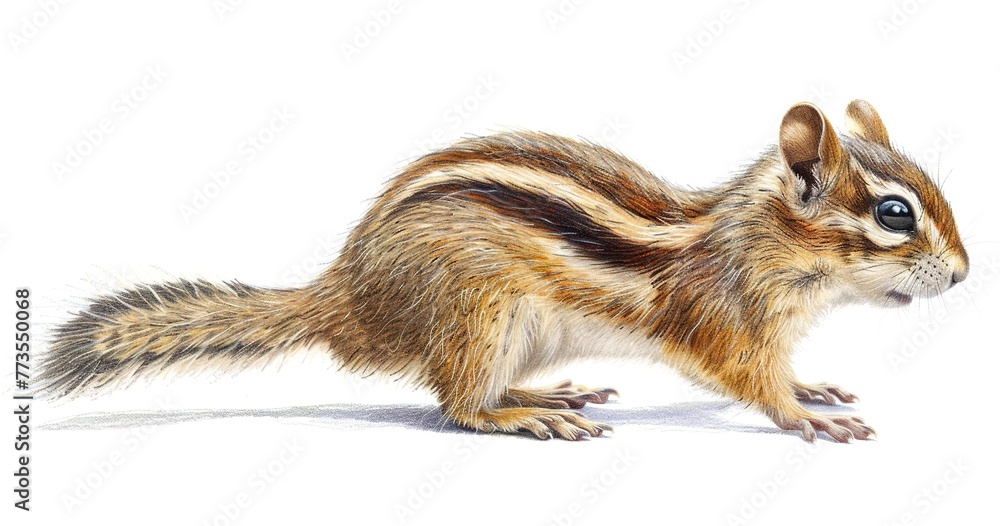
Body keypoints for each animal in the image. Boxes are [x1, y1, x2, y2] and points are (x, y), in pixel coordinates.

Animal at [40, 100, 969, 442]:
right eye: (895, 214)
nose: (963, 275)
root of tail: (348, 297)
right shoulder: (721, 319)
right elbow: (748, 378)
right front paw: (803, 416)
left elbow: (786, 369)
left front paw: (813, 387)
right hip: (477, 313)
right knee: (457, 404)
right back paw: (522, 418)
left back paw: (548, 395)